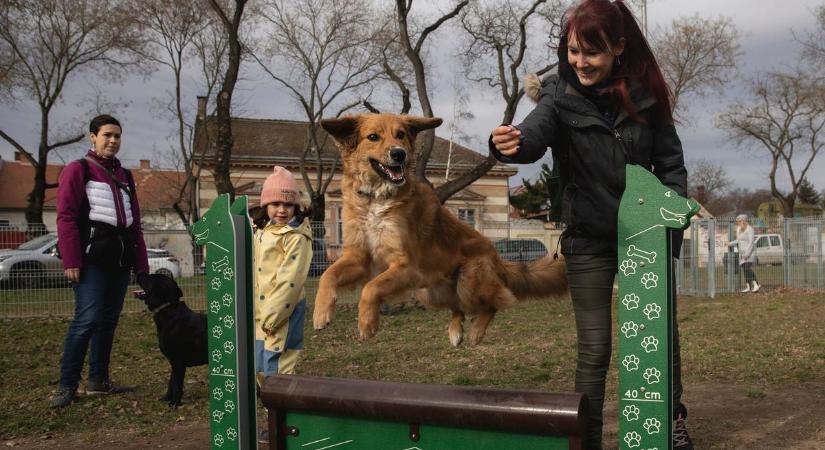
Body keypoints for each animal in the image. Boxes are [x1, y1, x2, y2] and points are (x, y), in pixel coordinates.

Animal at [135, 272, 206, 406]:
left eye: (151, 277)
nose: (138, 272)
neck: (167, 308)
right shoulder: (173, 361)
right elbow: (171, 382)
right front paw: (167, 398)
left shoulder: (178, 361)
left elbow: (177, 384)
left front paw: (174, 403)